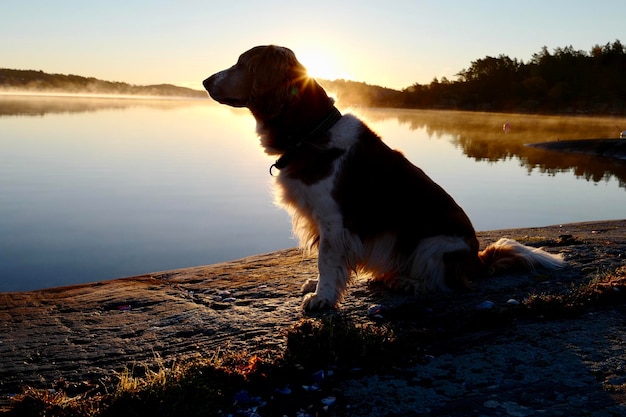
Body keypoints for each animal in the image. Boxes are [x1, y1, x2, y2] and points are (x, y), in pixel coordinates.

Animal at [202, 46, 564, 312]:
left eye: (242, 64)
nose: (205, 81)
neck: (312, 132)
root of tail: (476, 260)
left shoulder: (334, 222)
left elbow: (326, 262)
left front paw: (322, 298)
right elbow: (326, 263)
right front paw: (317, 287)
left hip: (431, 244)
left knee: (447, 284)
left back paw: (408, 282)